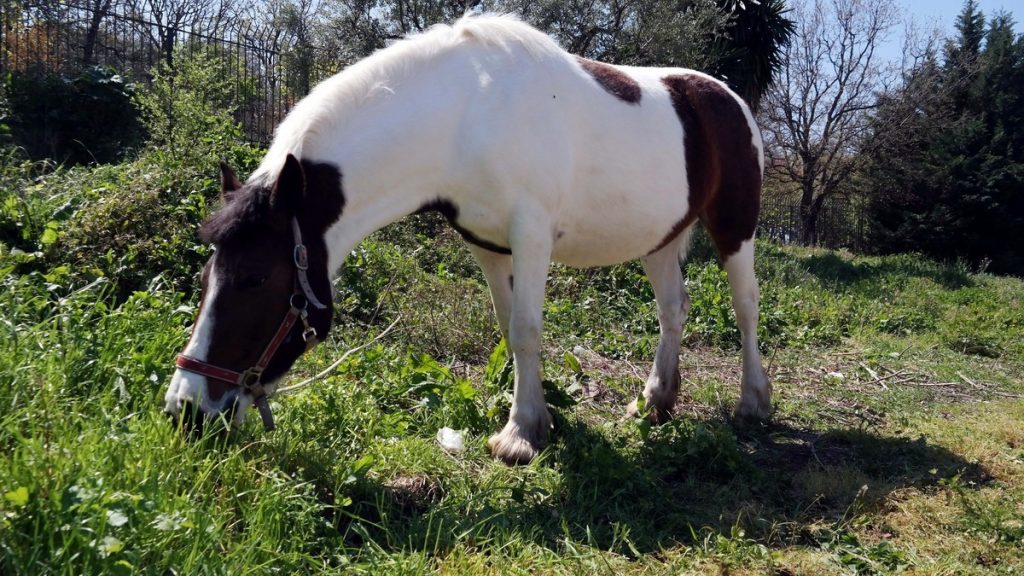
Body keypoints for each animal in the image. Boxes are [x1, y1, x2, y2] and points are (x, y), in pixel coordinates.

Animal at [161, 13, 770, 461]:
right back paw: (656, 401)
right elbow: (508, 327)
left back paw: (754, 401)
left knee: (744, 307)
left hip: (735, 227)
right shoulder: (488, 246)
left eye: (255, 278)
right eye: (206, 276)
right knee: (673, 309)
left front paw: (520, 436)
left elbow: (526, 329)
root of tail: (726, 98)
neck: (466, 114)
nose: (184, 410)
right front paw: (536, 416)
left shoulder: (532, 236)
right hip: (661, 239)